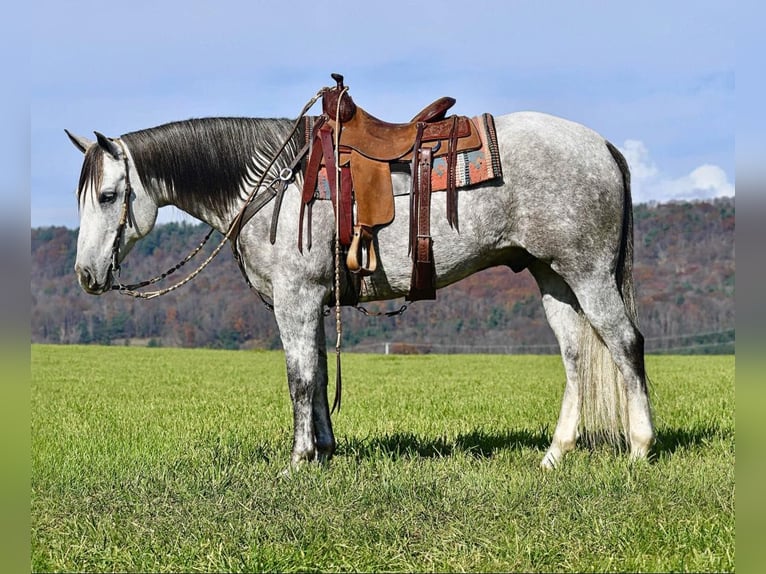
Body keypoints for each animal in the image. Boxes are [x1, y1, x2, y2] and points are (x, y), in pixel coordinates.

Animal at [66, 106, 656, 470]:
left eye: (108, 195)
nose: (87, 276)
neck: (273, 182)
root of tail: (602, 146)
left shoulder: (296, 299)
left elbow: (300, 379)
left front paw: (298, 461)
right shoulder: (315, 302)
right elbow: (320, 374)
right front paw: (325, 450)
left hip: (588, 272)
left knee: (626, 343)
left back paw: (639, 449)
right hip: (551, 275)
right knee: (576, 355)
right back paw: (554, 455)